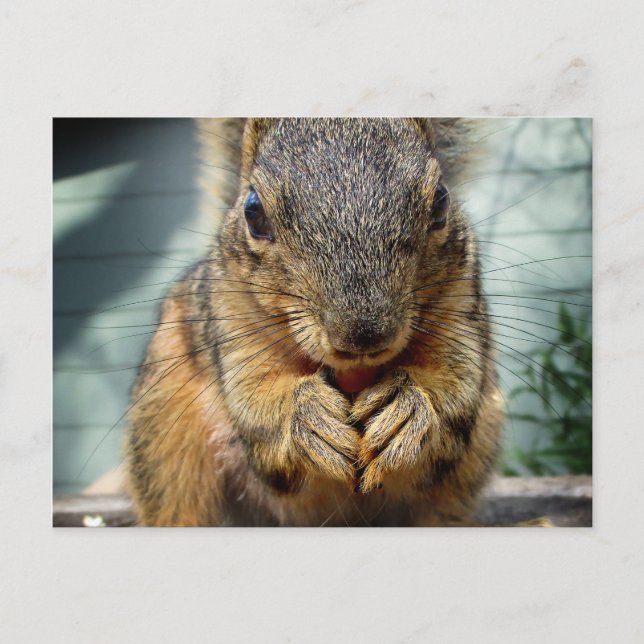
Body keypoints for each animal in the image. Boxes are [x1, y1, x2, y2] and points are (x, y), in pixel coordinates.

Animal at [126, 118, 505, 527]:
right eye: (252, 211)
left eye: (441, 200)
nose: (364, 335)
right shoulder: (232, 320)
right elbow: (257, 399)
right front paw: (306, 415)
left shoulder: (459, 306)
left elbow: (454, 390)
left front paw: (407, 407)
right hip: (163, 437)